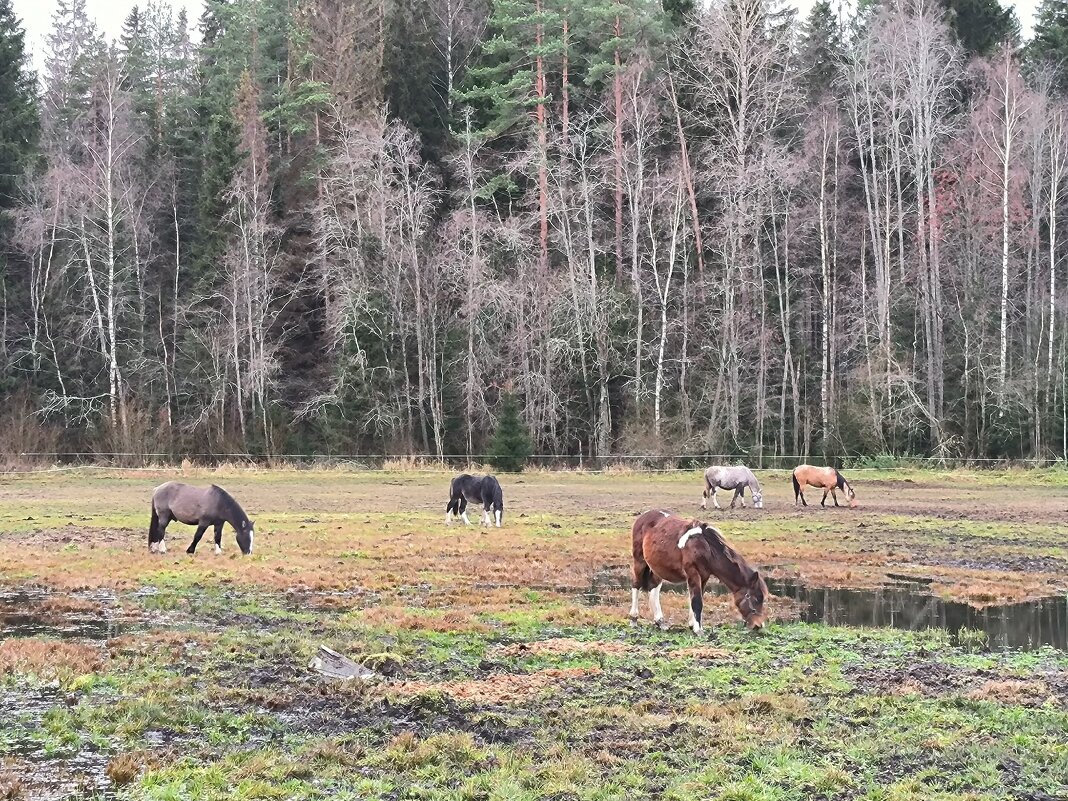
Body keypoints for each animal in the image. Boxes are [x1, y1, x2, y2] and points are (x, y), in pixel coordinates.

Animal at [623, 510, 768, 636]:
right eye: (755, 599)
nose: (758, 625)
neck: (705, 547)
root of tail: (642, 517)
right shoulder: (693, 573)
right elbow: (697, 601)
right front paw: (698, 630)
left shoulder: (704, 576)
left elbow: (696, 598)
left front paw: (692, 624)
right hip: (640, 561)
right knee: (636, 584)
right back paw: (634, 619)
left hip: (657, 566)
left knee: (654, 587)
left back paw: (660, 622)